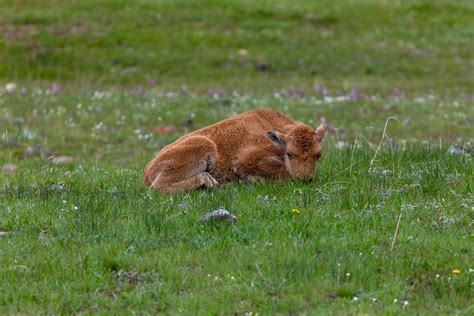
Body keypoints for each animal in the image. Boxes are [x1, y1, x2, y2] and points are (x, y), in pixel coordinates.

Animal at [143, 108, 324, 193]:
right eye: (290, 153)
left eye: (318, 155)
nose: (305, 179)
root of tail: (147, 172)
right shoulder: (246, 159)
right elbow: (282, 171)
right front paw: (254, 180)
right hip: (201, 146)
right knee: (158, 187)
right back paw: (207, 182)